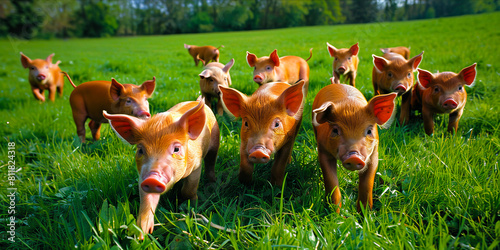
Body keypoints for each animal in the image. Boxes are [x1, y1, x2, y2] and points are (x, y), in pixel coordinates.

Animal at [102, 99, 218, 236]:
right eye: (140, 150)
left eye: (176, 149)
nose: (152, 178)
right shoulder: (143, 176)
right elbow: (147, 199)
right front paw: (142, 232)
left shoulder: (196, 165)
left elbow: (189, 189)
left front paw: (192, 205)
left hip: (216, 139)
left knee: (211, 162)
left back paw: (212, 184)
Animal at [312, 83, 398, 212]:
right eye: (335, 130)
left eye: (369, 131)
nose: (353, 157)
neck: (350, 106)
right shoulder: (323, 150)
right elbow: (331, 182)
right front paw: (335, 213)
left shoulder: (374, 154)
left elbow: (367, 185)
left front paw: (365, 214)